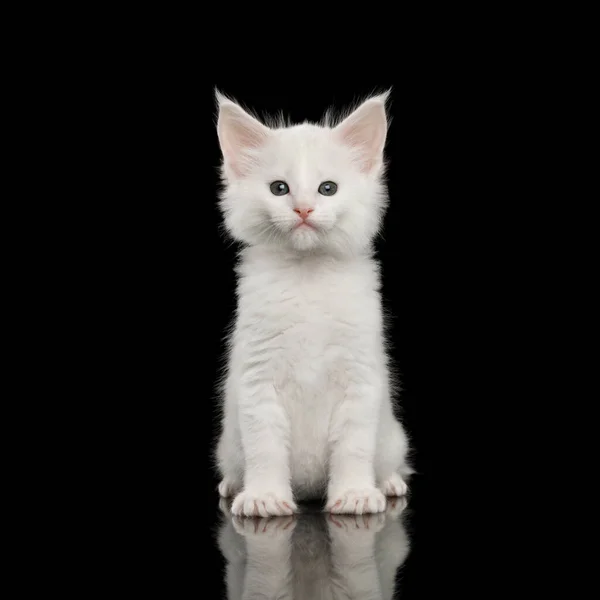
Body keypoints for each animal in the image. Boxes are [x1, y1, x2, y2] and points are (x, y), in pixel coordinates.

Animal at [214, 88, 412, 516]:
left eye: (327, 189)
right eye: (279, 189)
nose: (303, 209)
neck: (308, 274)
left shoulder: (360, 378)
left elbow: (353, 447)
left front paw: (354, 494)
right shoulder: (257, 380)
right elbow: (265, 448)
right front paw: (264, 497)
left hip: (392, 436)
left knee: (389, 460)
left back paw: (388, 483)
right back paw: (233, 486)